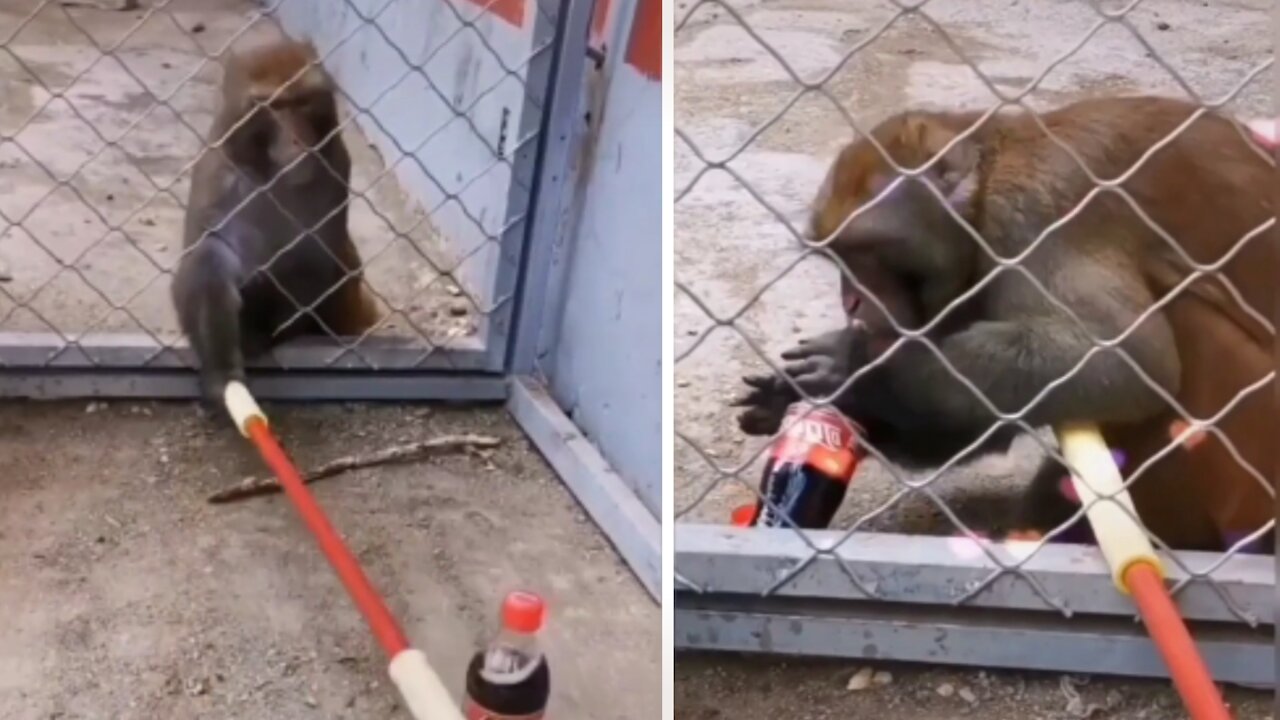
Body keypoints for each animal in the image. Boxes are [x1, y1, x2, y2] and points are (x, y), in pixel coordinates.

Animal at [172, 39, 376, 399]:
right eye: (275, 106)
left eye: (303, 101)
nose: (297, 139)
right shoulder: (220, 175)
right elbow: (209, 254)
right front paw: (224, 368)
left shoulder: (335, 166)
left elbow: (313, 256)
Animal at [737, 95, 1274, 548]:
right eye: (840, 257)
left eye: (868, 251)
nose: (851, 301)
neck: (988, 183)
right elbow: (986, 413)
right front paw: (797, 397)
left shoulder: (1034, 217)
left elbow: (1129, 361)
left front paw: (856, 363)